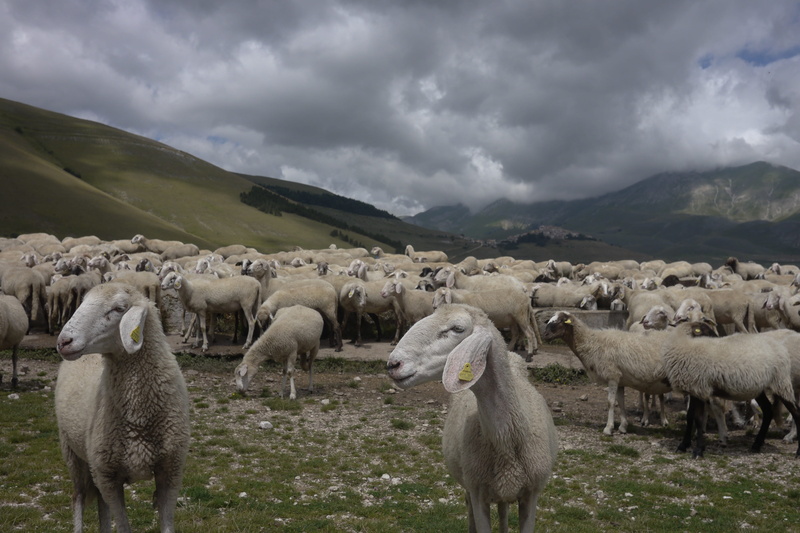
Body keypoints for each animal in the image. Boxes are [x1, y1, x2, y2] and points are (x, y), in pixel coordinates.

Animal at [54, 282, 190, 533]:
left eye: (118, 308)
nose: (63, 341)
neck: (139, 418)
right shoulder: (109, 477)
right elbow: (123, 525)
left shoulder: (171, 470)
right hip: (73, 454)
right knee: (78, 497)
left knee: (100, 502)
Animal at [386, 304, 558, 532]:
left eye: (457, 328)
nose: (393, 364)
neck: (506, 441)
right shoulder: (478, 493)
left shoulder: (532, 495)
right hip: (468, 483)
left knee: (503, 510)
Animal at [542, 311, 674, 434]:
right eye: (549, 321)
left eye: (560, 321)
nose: (545, 335)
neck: (591, 342)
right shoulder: (620, 379)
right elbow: (621, 402)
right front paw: (623, 427)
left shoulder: (612, 375)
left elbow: (610, 402)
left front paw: (608, 428)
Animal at [662, 318, 800, 457]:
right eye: (706, 330)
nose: (719, 338)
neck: (687, 344)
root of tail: (779, 347)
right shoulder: (694, 389)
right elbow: (690, 416)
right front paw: (683, 445)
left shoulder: (700, 388)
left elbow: (699, 419)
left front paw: (698, 451)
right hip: (760, 388)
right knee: (768, 411)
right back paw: (756, 445)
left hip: (781, 383)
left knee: (796, 413)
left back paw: (797, 451)